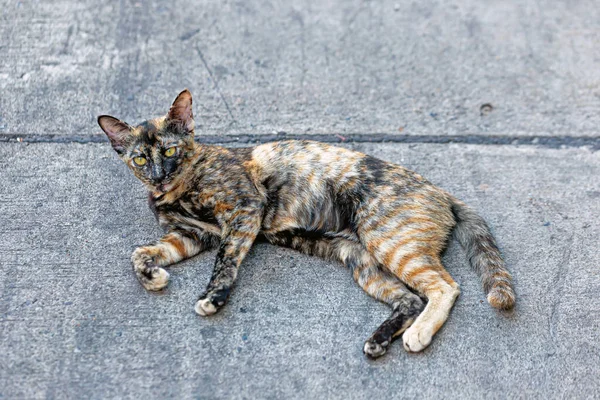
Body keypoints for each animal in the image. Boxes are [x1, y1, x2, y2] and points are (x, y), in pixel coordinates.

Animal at [98, 90, 516, 356]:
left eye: (170, 150)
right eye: (140, 159)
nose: (158, 176)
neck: (177, 190)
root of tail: (442, 192)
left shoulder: (243, 211)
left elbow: (225, 261)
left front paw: (213, 298)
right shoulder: (191, 235)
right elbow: (140, 253)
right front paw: (153, 277)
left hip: (388, 243)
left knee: (445, 287)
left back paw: (417, 335)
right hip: (360, 260)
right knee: (410, 298)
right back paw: (380, 341)